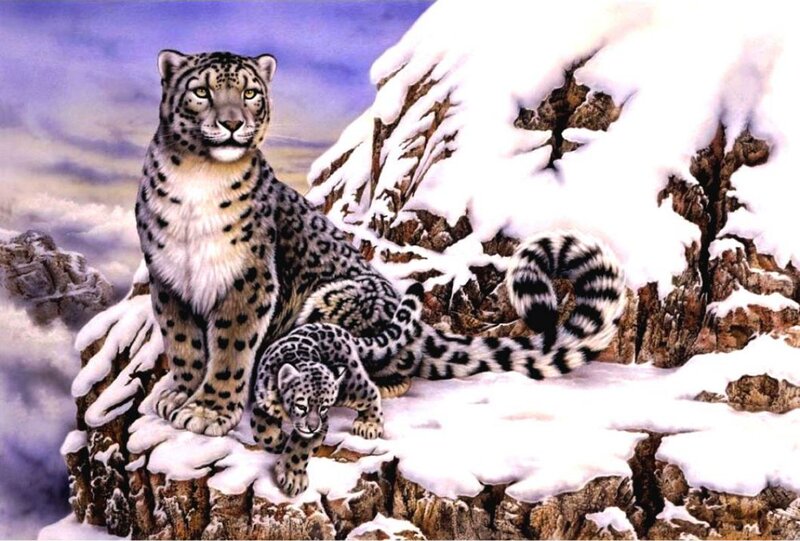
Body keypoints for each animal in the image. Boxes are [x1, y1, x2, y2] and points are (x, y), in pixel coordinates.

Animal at [135, 49, 626, 438]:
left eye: (251, 93)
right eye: (201, 91)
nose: (232, 122)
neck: (199, 179)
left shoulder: (249, 280)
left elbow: (230, 347)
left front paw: (208, 411)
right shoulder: (168, 277)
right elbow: (183, 343)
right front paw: (180, 395)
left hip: (335, 301)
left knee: (392, 367)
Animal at [250, 283, 424, 497]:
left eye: (324, 407)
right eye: (302, 405)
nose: (312, 426)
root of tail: (339, 330)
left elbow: (300, 447)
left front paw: (292, 477)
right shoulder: (262, 399)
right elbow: (260, 428)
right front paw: (276, 440)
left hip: (351, 387)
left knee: (370, 391)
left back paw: (368, 425)